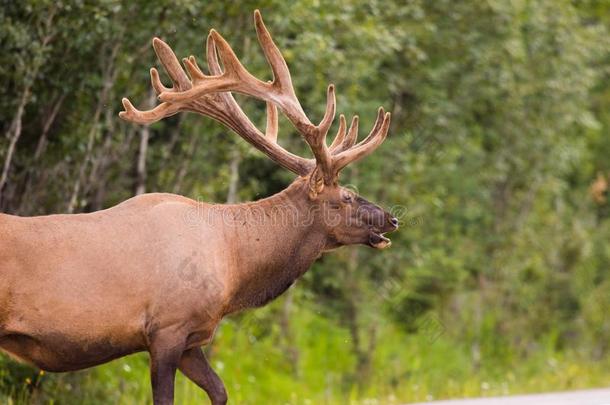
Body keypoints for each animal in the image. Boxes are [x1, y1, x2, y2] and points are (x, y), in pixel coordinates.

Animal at [0, 10, 394, 404]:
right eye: (346, 197)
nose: (390, 218)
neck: (235, 265)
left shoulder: (191, 339)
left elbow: (220, 390)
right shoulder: (167, 328)